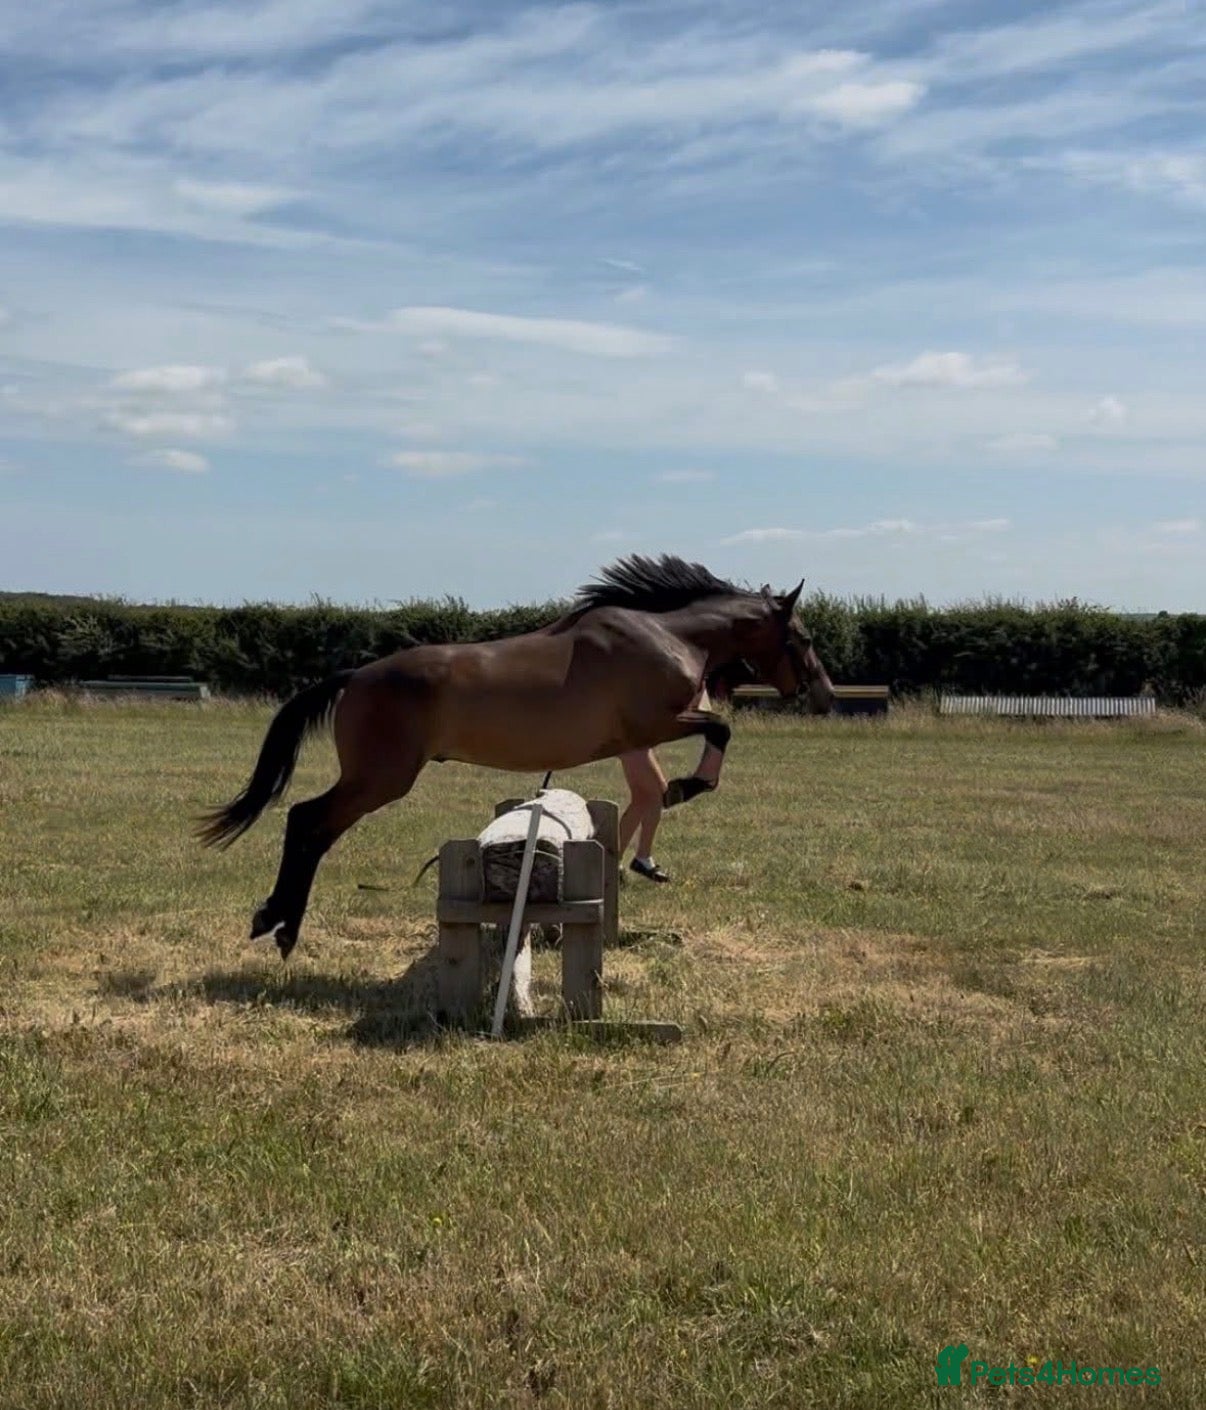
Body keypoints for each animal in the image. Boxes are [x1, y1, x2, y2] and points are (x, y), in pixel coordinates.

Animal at [197, 554, 835, 959]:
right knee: (308, 821)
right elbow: (721, 730)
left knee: (309, 824)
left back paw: (276, 923)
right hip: (380, 778)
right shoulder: (656, 724)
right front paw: (687, 786)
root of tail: (356, 676)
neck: (670, 637)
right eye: (802, 638)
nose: (822, 693)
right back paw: (279, 926)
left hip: (375, 779)